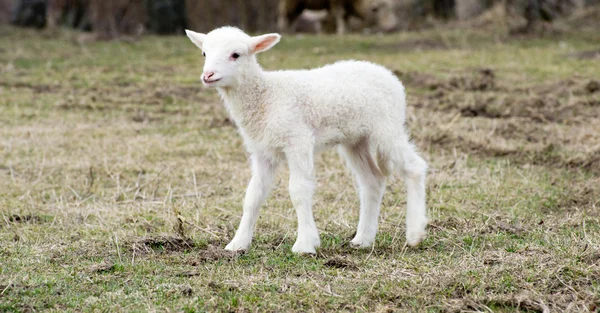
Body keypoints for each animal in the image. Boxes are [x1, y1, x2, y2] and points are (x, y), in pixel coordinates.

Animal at [184, 26, 426, 254]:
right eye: (204, 53)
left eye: (236, 55)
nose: (208, 75)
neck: (266, 97)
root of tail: (388, 75)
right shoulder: (262, 151)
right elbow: (253, 195)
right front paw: (238, 243)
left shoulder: (297, 139)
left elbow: (298, 190)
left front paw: (305, 244)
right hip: (356, 139)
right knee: (372, 180)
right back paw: (362, 240)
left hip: (387, 126)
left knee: (414, 167)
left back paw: (414, 234)